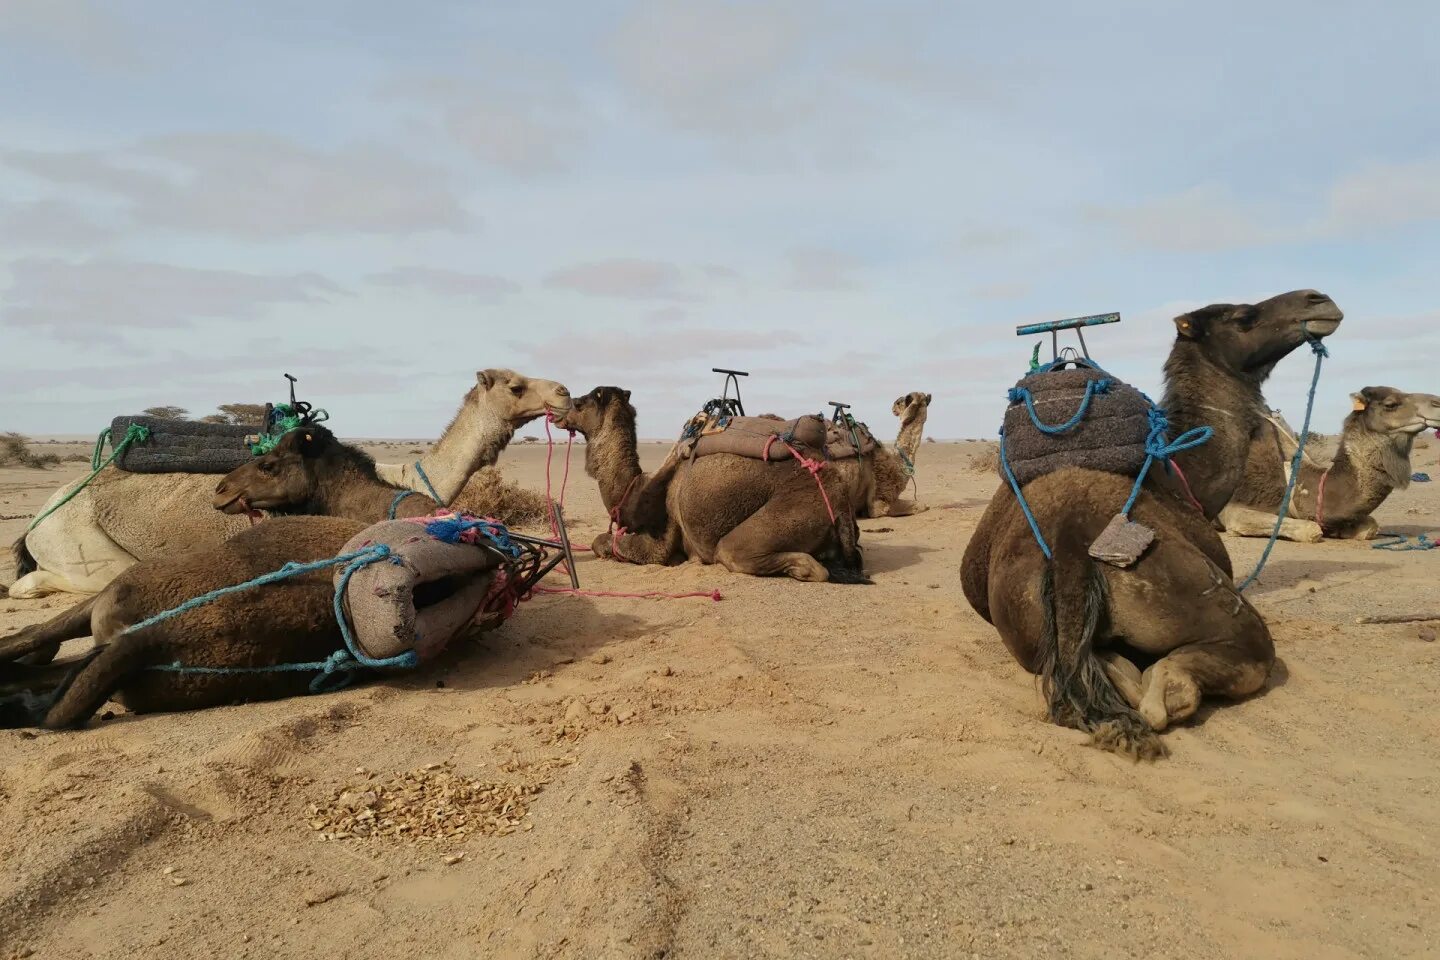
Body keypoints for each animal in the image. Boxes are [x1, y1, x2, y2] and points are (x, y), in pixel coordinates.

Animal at [9, 371, 567, 601]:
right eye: (516, 385)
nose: (562, 392)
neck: (401, 478)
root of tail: (38, 518)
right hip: (75, 541)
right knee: (47, 581)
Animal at [550, 385, 864, 581]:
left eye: (579, 403)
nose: (556, 414)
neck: (634, 488)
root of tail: (839, 504)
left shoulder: (662, 539)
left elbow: (601, 542)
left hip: (793, 511)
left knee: (737, 552)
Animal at [961, 290, 1342, 759]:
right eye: (1243, 317)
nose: (1318, 300)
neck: (1182, 475)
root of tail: (1070, 551)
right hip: (1196, 598)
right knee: (1188, 682)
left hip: (1027, 628)